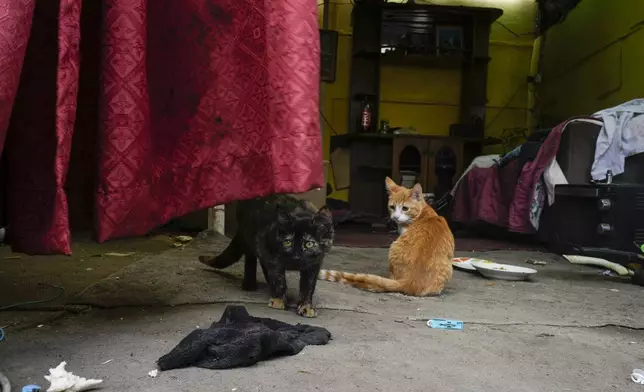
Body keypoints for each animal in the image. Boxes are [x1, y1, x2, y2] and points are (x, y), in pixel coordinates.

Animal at [199, 194, 334, 316]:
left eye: (309, 244)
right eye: (288, 242)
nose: (296, 257)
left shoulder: (314, 264)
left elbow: (308, 286)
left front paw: (306, 306)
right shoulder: (270, 252)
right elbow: (278, 278)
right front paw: (279, 300)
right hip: (249, 235)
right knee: (251, 257)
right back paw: (250, 284)